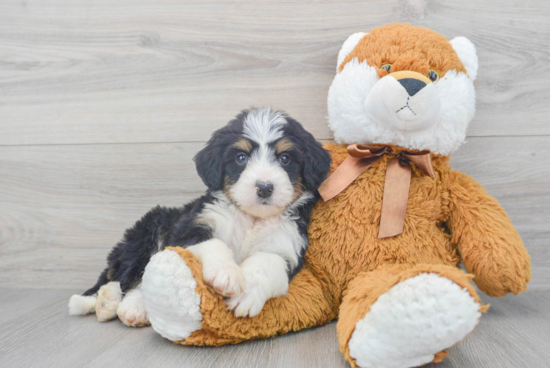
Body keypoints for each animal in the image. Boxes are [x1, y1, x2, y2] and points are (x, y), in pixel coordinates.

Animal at [71, 108, 334, 326]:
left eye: (285, 159)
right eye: (241, 158)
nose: (265, 187)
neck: (251, 219)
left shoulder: (286, 246)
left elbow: (266, 262)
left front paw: (245, 293)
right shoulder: (193, 227)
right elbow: (214, 243)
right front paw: (226, 274)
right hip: (149, 230)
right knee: (127, 277)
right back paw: (109, 302)